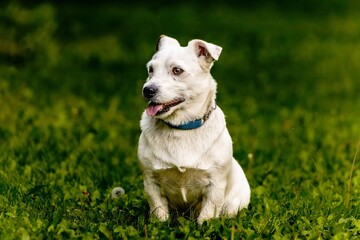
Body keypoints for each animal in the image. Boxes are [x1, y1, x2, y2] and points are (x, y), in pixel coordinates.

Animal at [138, 34, 250, 224]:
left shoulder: (215, 185)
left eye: (177, 70)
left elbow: (207, 215)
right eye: (150, 69)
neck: (181, 127)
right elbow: (159, 213)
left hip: (233, 204)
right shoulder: (151, 182)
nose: (147, 90)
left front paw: (205, 226)